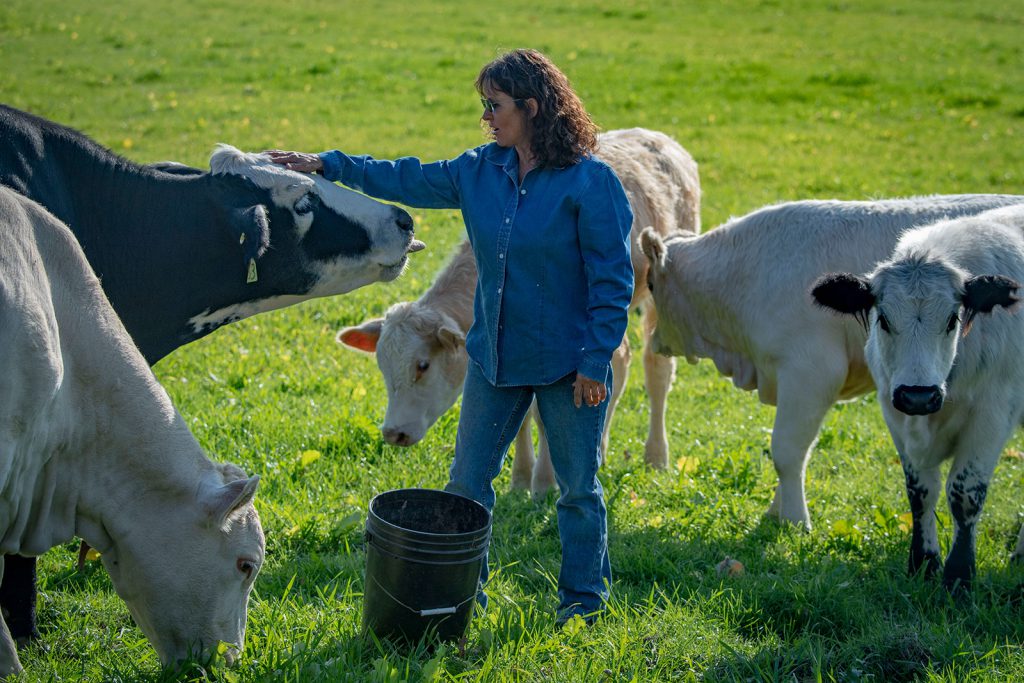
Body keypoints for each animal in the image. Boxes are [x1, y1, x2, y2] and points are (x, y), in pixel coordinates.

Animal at [337, 128, 701, 494]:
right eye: (382, 367)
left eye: (423, 365)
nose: (393, 433)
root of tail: (658, 137)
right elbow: (521, 415)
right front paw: (521, 478)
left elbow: (548, 413)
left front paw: (544, 482)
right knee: (619, 361)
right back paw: (599, 449)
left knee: (655, 369)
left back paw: (655, 456)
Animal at [639, 194, 1024, 530]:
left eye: (650, 284)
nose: (654, 339)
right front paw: (777, 511)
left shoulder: (810, 373)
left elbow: (787, 451)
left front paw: (795, 520)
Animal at [812, 204, 1024, 590]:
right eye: (883, 319)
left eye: (953, 319)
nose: (918, 397)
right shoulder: (894, 411)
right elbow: (920, 491)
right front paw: (924, 562)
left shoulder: (993, 415)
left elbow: (965, 494)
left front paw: (959, 575)